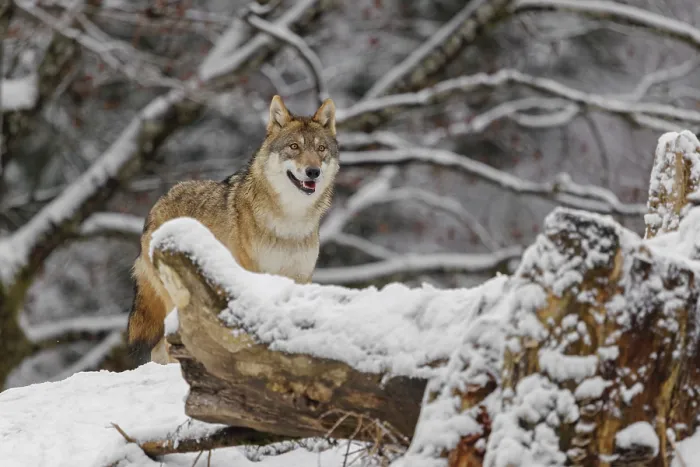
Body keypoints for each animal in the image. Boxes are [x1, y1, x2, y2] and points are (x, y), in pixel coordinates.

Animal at [127, 95, 339, 364]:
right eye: (294, 147)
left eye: (321, 149)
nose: (313, 171)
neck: (290, 221)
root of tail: (157, 205)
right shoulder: (253, 277)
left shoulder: (300, 279)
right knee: (167, 344)